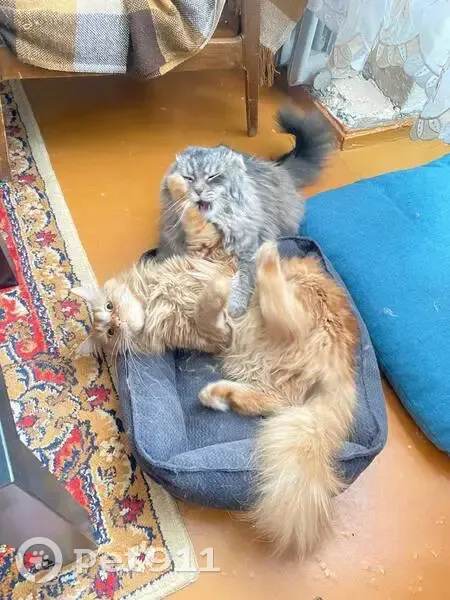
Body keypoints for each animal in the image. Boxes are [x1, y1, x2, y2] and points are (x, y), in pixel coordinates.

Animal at [157, 106, 333, 315]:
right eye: (188, 178)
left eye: (213, 176)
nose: (198, 190)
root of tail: (277, 167)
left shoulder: (248, 249)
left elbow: (242, 279)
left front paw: (234, 307)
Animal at [199, 241, 358, 557]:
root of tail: (342, 373)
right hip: (269, 368)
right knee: (273, 400)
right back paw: (219, 395)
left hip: (302, 305)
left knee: (281, 306)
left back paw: (267, 259)